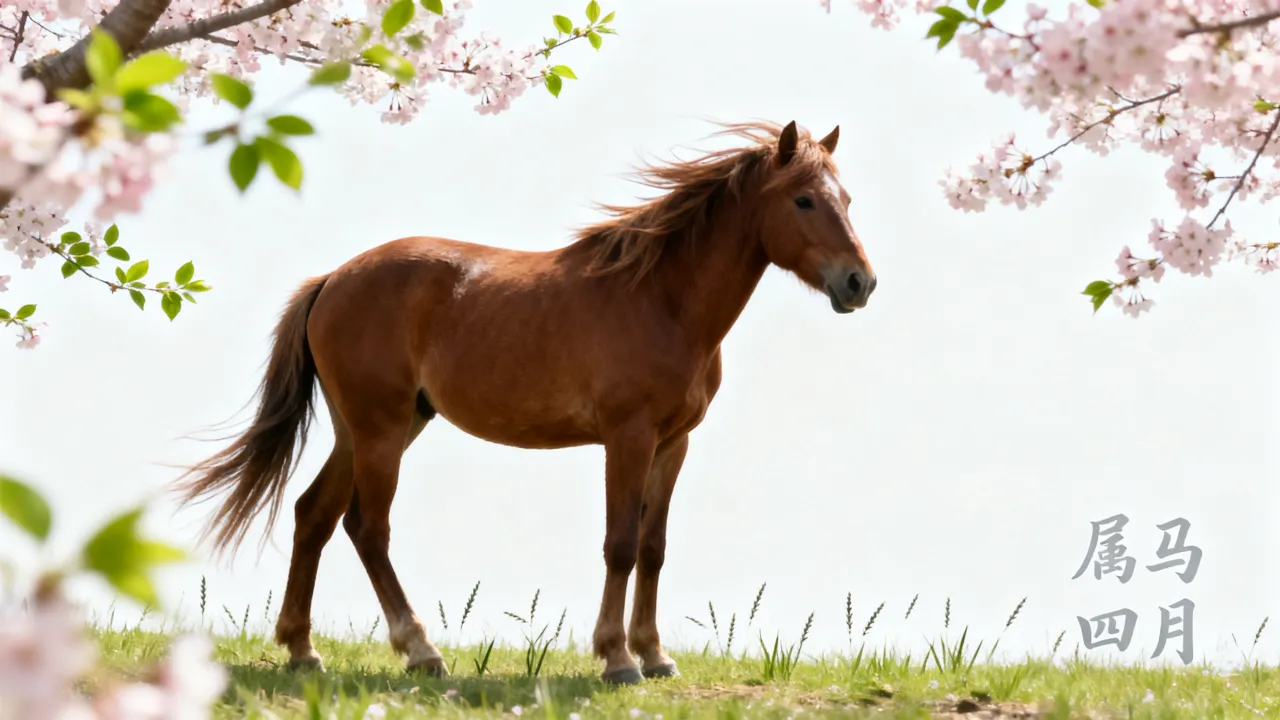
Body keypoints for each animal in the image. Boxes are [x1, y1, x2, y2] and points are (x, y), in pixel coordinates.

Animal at [172, 119, 877, 685]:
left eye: (847, 199)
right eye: (804, 199)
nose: (859, 283)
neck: (662, 299)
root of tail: (333, 279)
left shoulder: (673, 443)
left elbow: (653, 547)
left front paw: (654, 655)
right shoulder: (628, 437)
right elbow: (620, 543)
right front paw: (617, 658)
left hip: (370, 429)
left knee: (313, 515)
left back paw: (302, 650)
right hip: (381, 432)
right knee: (367, 528)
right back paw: (421, 650)